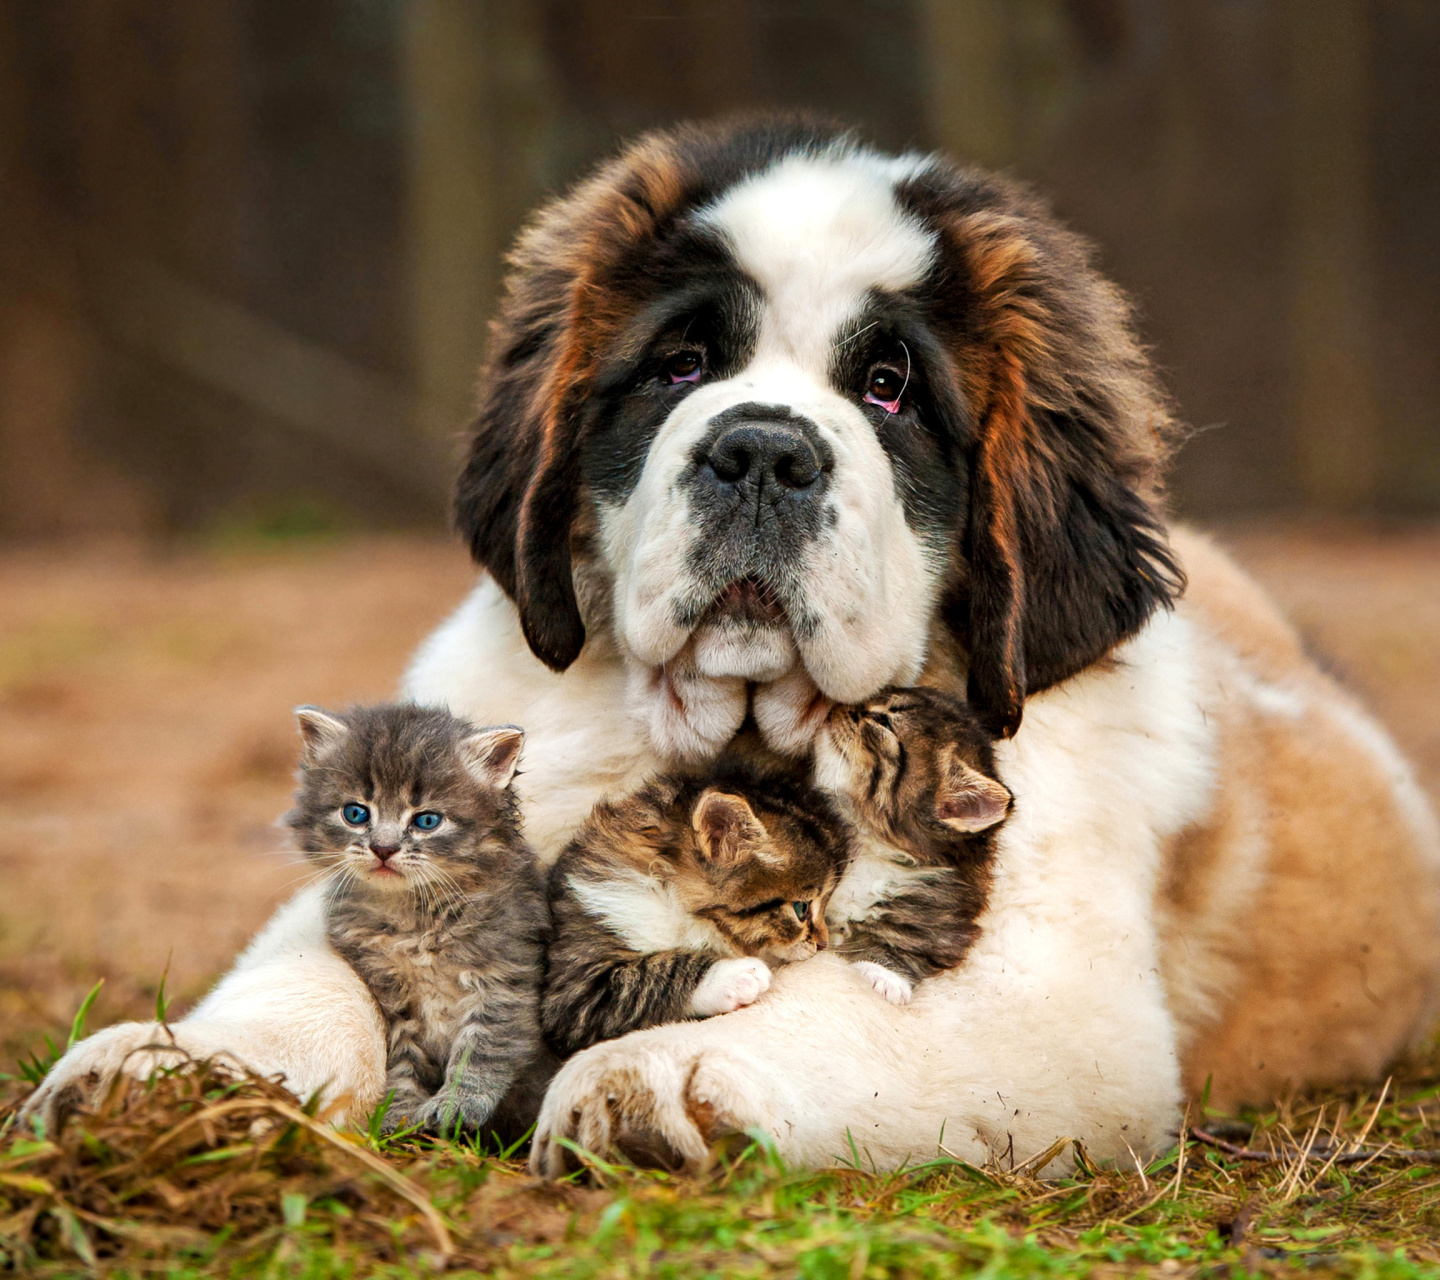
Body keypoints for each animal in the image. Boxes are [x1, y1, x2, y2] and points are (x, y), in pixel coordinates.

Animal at [283, 705, 547, 1134]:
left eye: (426, 821)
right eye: (355, 813)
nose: (383, 848)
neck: (413, 917)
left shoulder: (503, 980)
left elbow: (482, 1049)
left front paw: (457, 1104)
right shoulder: (392, 998)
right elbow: (402, 1061)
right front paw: (398, 1114)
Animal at [544, 760, 846, 1059]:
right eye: (801, 908)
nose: (823, 943)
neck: (673, 902)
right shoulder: (576, 991)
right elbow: (652, 974)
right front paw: (733, 976)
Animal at [812, 685, 1013, 1002]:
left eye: (883, 722)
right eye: (879, 695)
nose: (837, 707)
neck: (868, 846)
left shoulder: (941, 921)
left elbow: (905, 945)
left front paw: (884, 977)